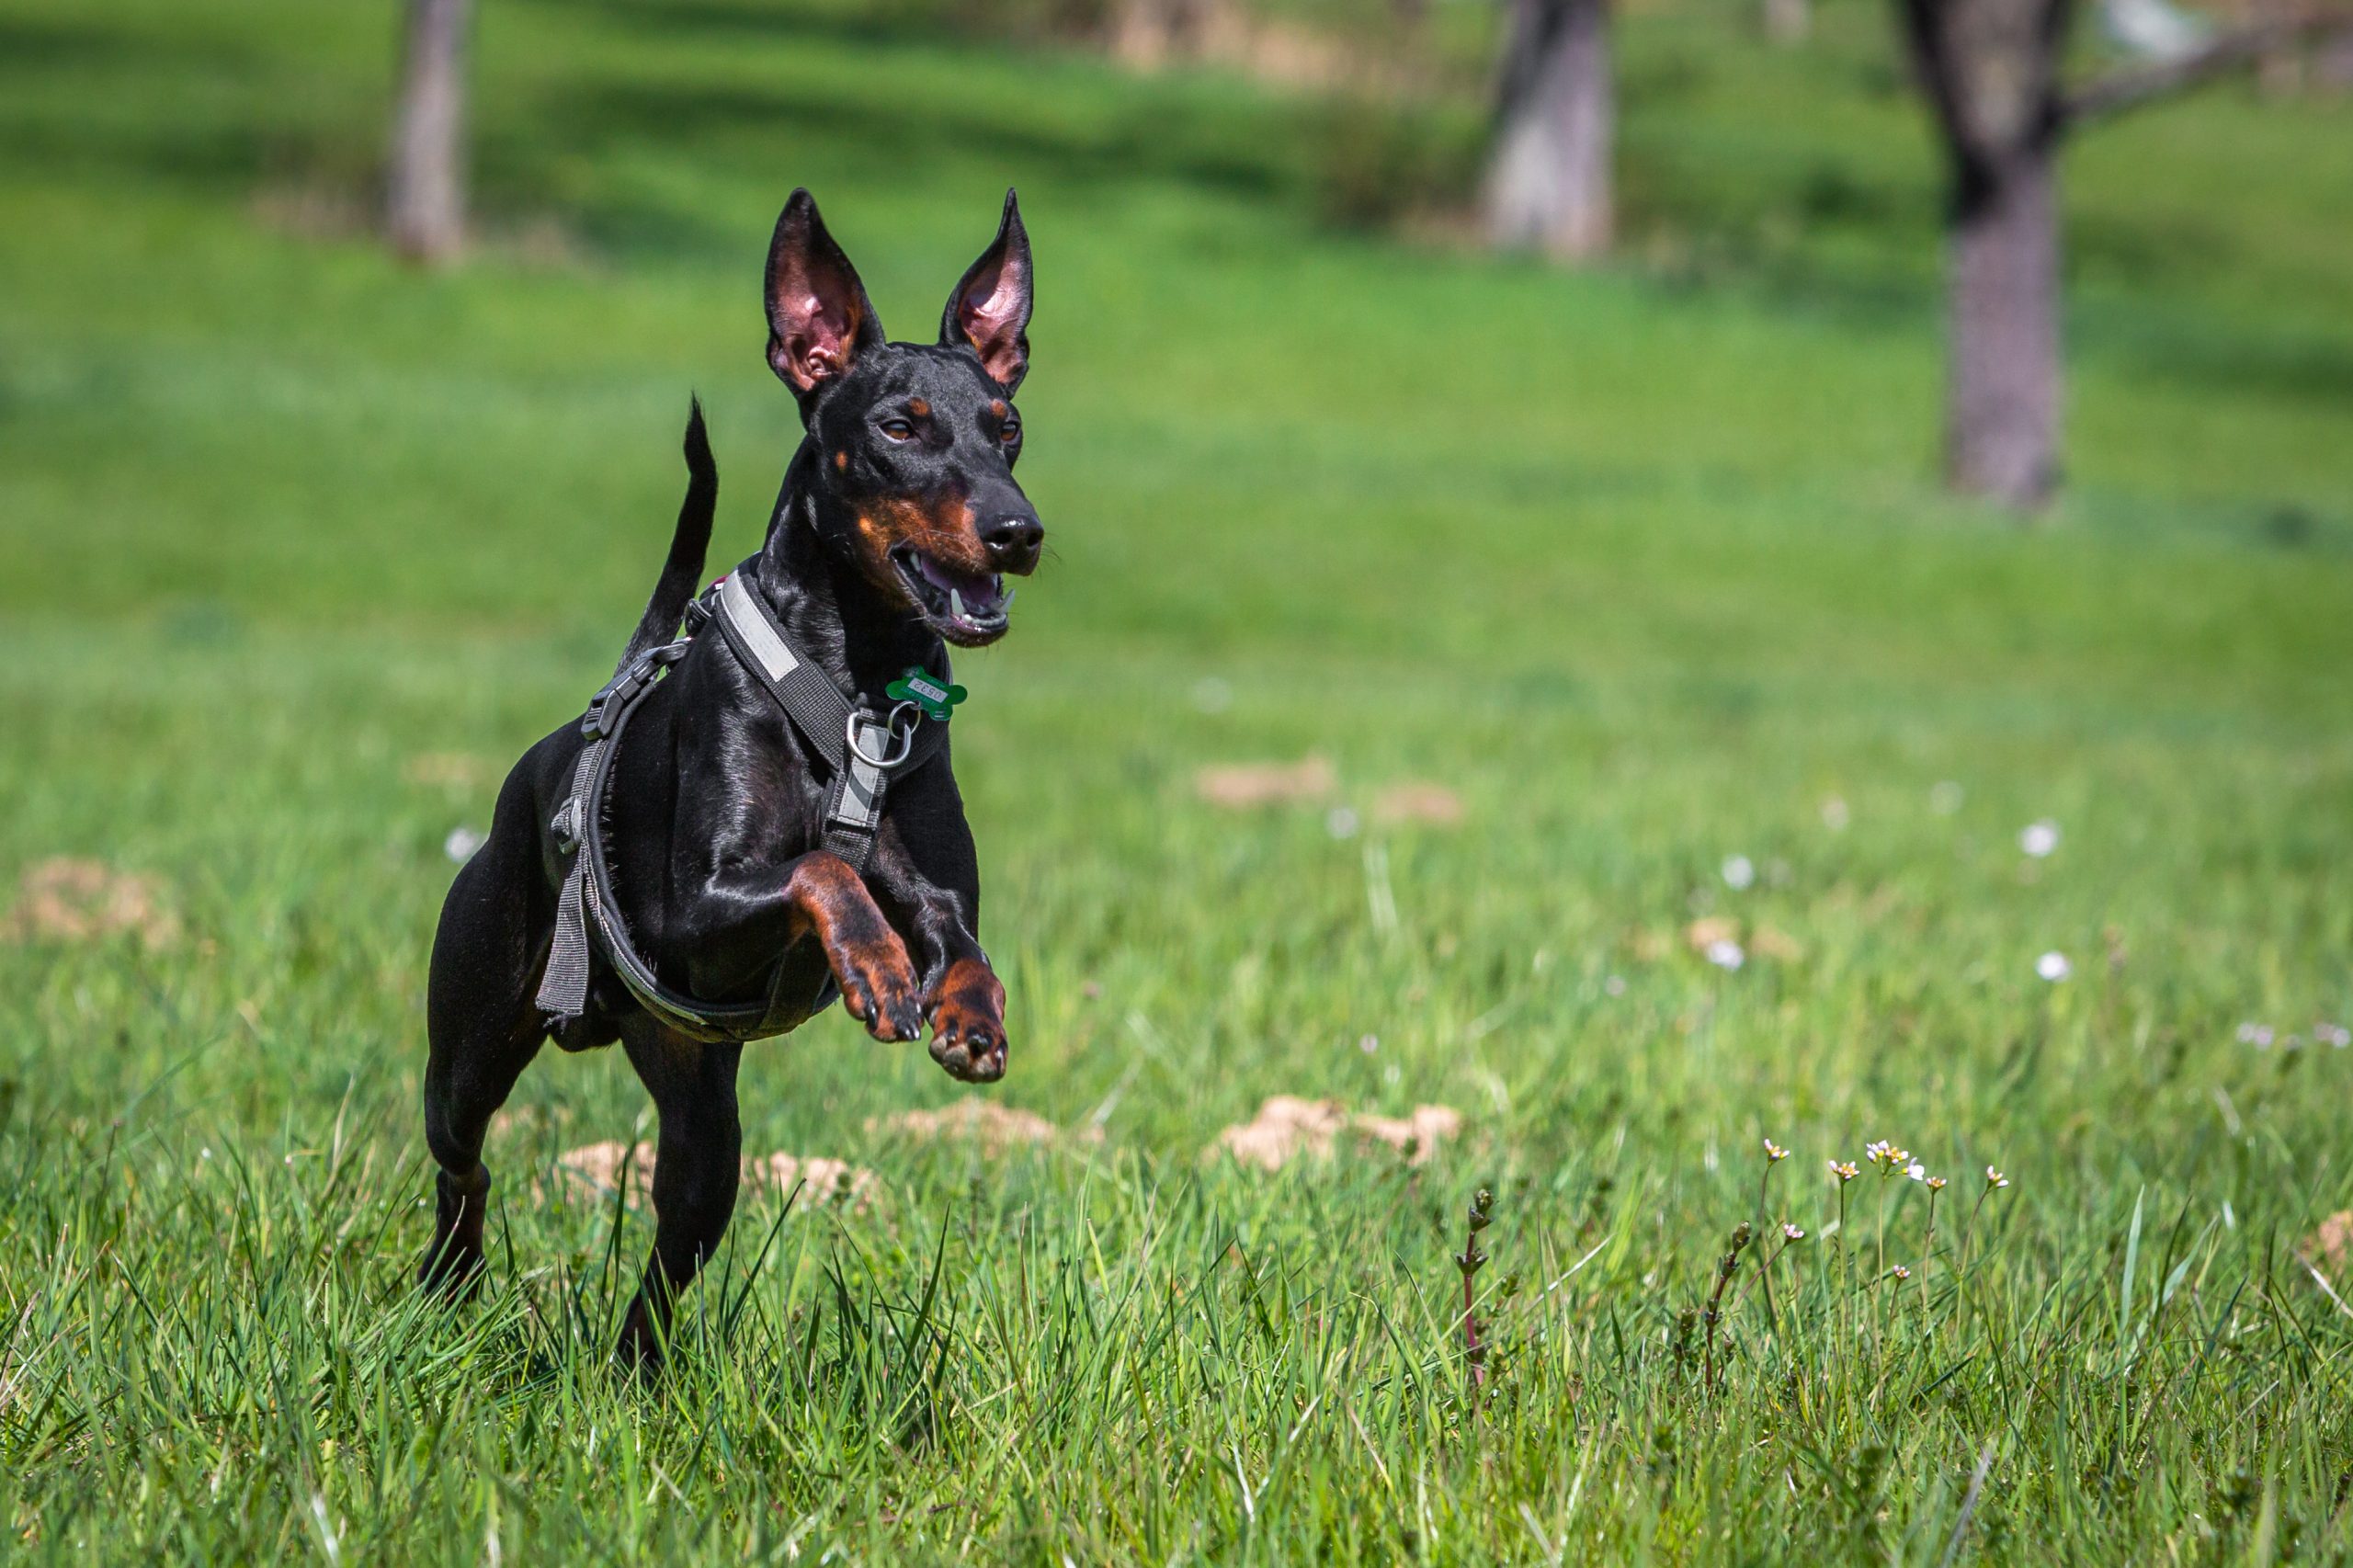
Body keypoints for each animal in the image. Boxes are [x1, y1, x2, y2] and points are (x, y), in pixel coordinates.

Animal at [421, 186, 1040, 1356]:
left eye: (1008, 426)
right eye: (899, 428)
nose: (1018, 531)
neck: (853, 688)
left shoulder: (939, 890)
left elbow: (963, 938)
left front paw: (968, 1019)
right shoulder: (691, 910)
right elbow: (823, 871)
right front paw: (878, 968)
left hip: (700, 1110)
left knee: (672, 1249)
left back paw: (630, 1370)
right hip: (472, 1040)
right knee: (461, 1164)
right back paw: (449, 1287)